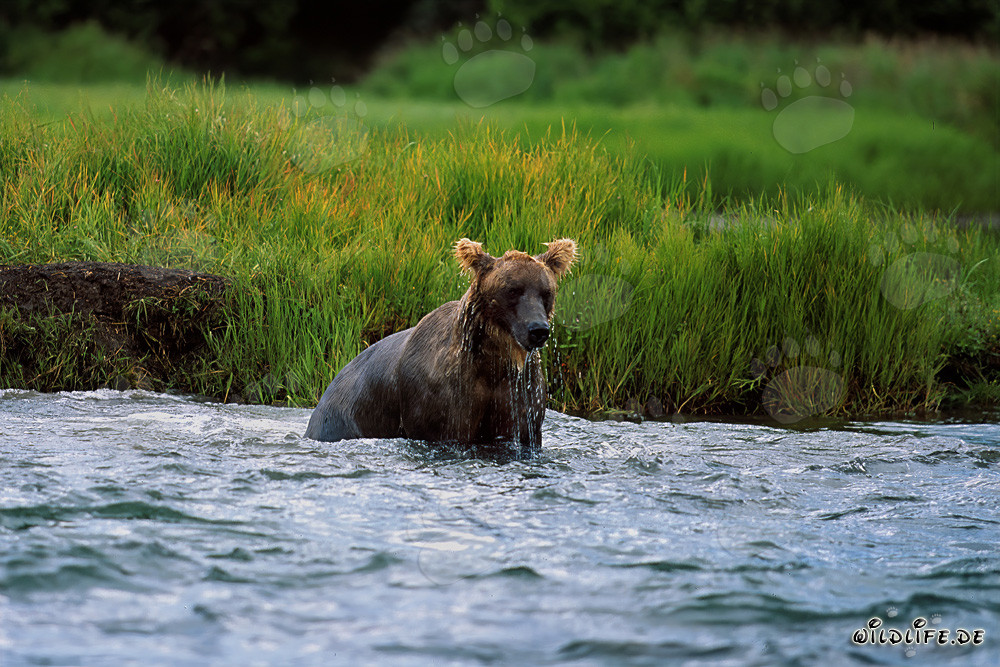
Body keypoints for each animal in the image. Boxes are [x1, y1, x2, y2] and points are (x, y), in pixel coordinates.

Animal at [305, 238, 577, 458]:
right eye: (512, 290)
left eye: (546, 292)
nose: (538, 329)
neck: (492, 361)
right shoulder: (442, 400)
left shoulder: (518, 394)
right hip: (343, 418)